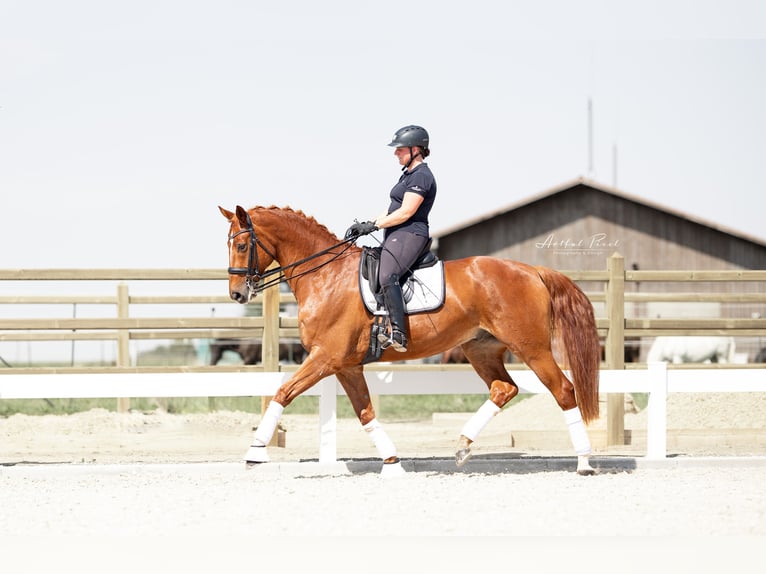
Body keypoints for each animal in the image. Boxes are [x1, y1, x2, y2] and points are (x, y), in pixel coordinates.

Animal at [219, 206, 604, 476]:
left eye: (241, 244)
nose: (237, 294)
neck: (326, 276)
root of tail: (533, 271)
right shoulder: (345, 365)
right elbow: (366, 413)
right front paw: (392, 462)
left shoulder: (325, 357)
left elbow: (283, 392)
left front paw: (254, 452)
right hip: (480, 348)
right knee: (503, 389)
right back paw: (462, 446)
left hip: (532, 348)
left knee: (563, 391)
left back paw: (584, 462)